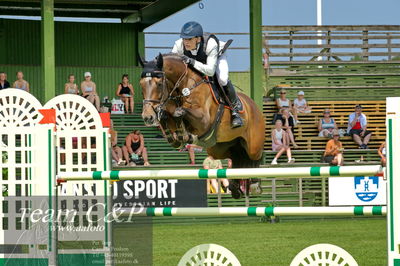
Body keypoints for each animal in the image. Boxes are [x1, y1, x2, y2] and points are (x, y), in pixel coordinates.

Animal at [140, 53, 266, 197]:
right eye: (141, 85)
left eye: (159, 84)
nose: (147, 117)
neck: (184, 87)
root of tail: (254, 105)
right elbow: (168, 117)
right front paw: (178, 136)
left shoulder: (203, 121)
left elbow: (180, 112)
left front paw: (185, 134)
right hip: (220, 148)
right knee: (236, 158)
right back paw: (235, 188)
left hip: (253, 146)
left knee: (255, 157)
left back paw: (255, 185)